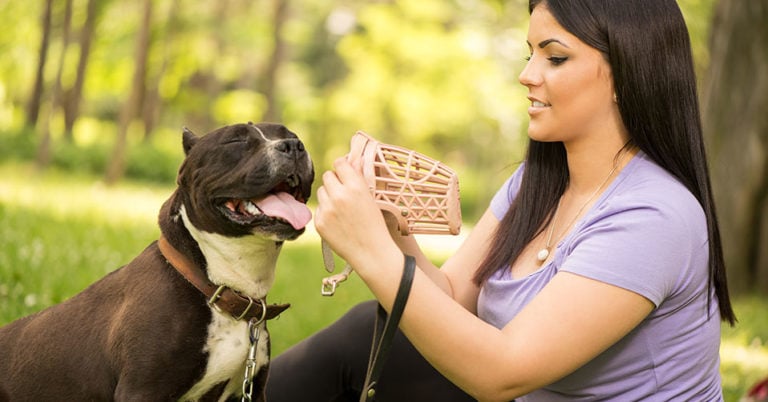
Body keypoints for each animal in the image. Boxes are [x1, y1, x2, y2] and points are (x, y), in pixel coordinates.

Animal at [0, 122, 316, 402]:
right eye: (235, 141)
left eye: (290, 133)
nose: (294, 145)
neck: (213, 284)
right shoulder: (142, 390)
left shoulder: (251, 390)